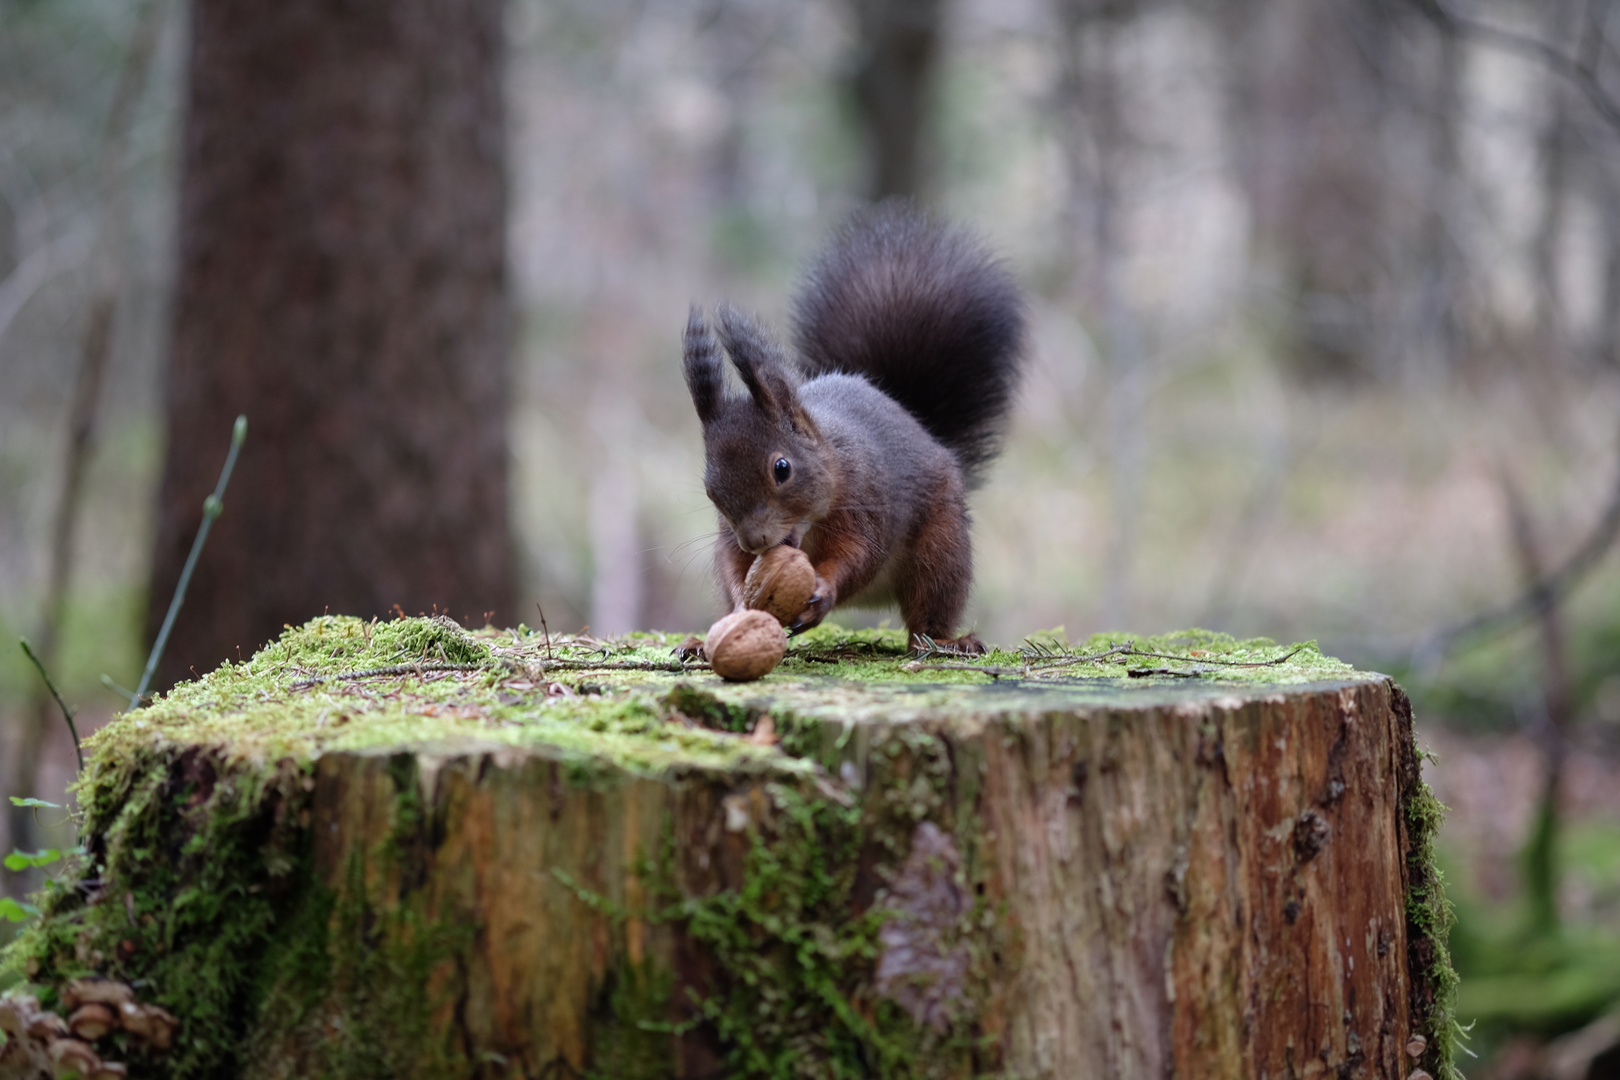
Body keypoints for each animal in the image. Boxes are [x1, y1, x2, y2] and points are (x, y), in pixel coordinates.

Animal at [683, 204, 1023, 660]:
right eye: (710, 489)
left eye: (782, 468)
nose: (755, 542)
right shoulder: (728, 536)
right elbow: (733, 566)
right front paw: (742, 609)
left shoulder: (866, 502)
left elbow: (859, 556)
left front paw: (823, 591)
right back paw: (700, 644)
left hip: (941, 545)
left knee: (927, 610)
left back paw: (947, 642)